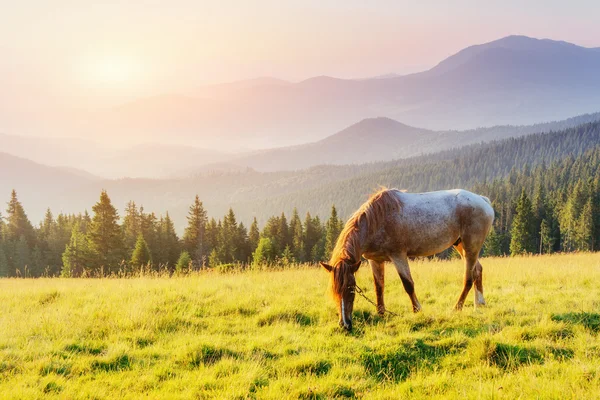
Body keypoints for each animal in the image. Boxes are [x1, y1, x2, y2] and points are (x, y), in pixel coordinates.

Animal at [322, 188, 494, 332]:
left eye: (351, 289)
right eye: (334, 290)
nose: (344, 325)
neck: (376, 221)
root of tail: (483, 200)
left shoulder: (398, 255)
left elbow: (408, 284)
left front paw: (417, 310)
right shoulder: (375, 260)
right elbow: (379, 287)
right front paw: (381, 313)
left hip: (471, 247)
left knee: (468, 278)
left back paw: (457, 308)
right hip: (461, 246)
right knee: (478, 270)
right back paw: (479, 304)